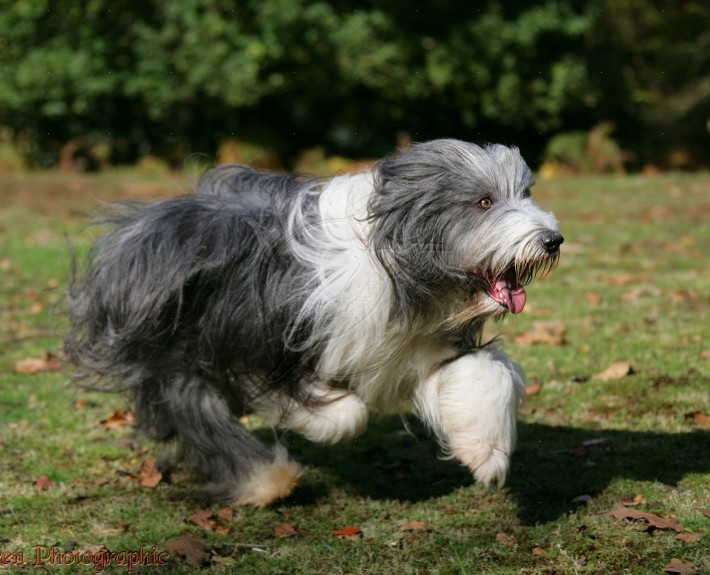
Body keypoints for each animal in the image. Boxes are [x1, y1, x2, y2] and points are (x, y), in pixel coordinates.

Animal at [68, 142, 568, 506]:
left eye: (525, 193)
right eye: (483, 201)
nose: (553, 239)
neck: (399, 262)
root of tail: (140, 226)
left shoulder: (425, 343)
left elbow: (486, 375)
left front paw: (486, 455)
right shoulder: (279, 337)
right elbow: (345, 412)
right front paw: (319, 417)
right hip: (178, 349)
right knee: (194, 408)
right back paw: (270, 481)